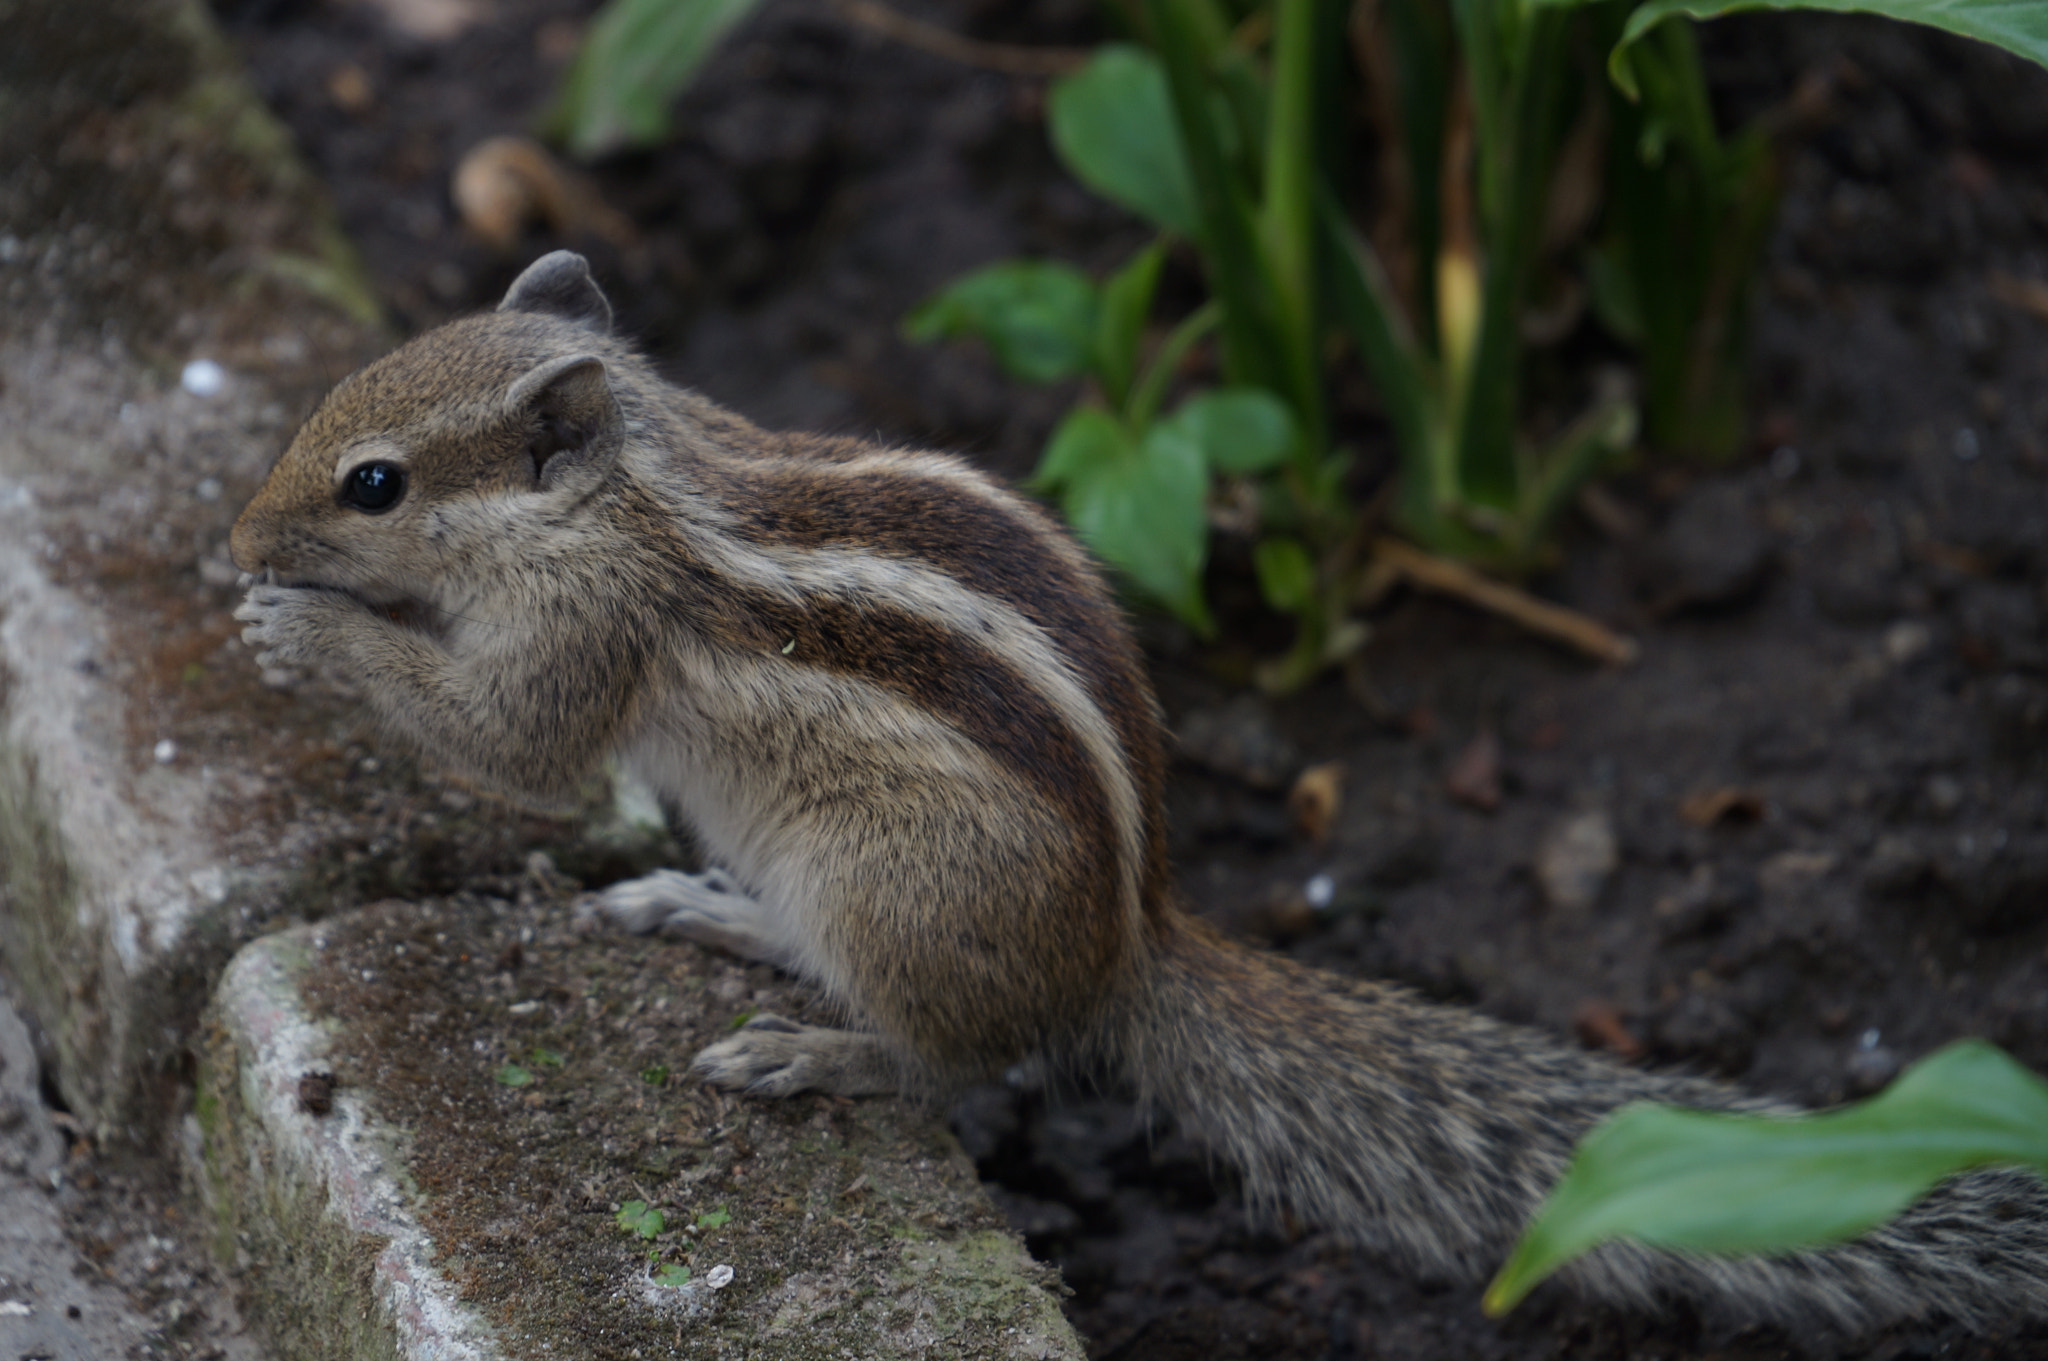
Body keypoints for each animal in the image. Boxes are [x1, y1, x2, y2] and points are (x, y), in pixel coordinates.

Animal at [232, 249, 2048, 1334]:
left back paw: (815, 1049)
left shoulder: (583, 634)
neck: (637, 483)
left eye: (374, 482)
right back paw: (710, 907)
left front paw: (302, 628)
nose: (245, 534)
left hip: (888, 893)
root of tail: (1130, 940)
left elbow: (508, 741)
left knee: (972, 1063)